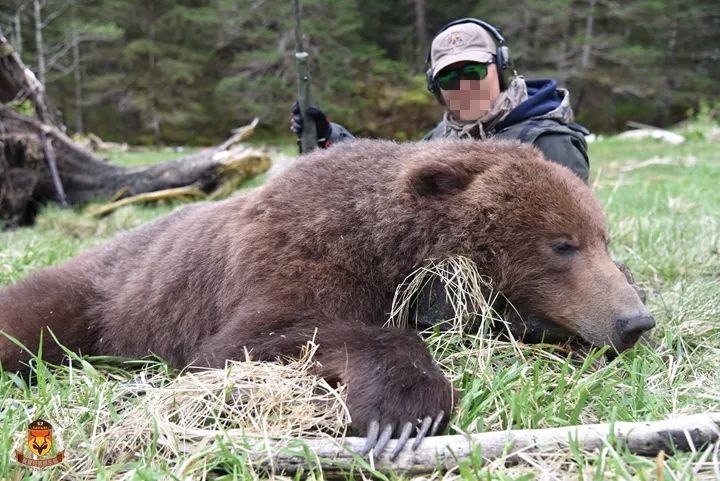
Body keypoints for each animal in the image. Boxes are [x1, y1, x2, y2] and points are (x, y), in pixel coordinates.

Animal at [0, 138, 652, 454]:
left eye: (603, 238)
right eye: (562, 244)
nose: (634, 321)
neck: (384, 242)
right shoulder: (287, 262)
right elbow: (258, 340)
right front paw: (404, 408)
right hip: (94, 299)